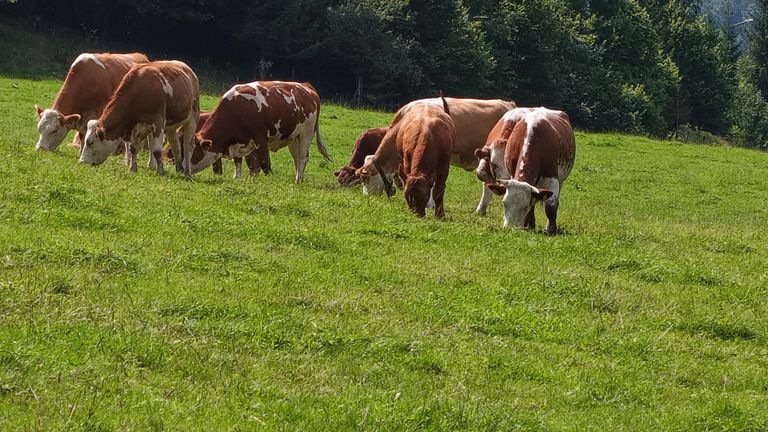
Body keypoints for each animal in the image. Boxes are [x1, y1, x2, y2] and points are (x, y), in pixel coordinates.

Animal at [190, 81, 331, 183]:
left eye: (193, 152)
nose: (185, 169)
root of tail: (306, 86)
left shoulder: (260, 138)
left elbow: (264, 162)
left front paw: (268, 179)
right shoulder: (239, 141)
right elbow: (238, 161)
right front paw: (237, 178)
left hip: (306, 133)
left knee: (302, 157)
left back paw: (297, 180)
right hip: (294, 137)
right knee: (296, 157)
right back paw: (299, 178)